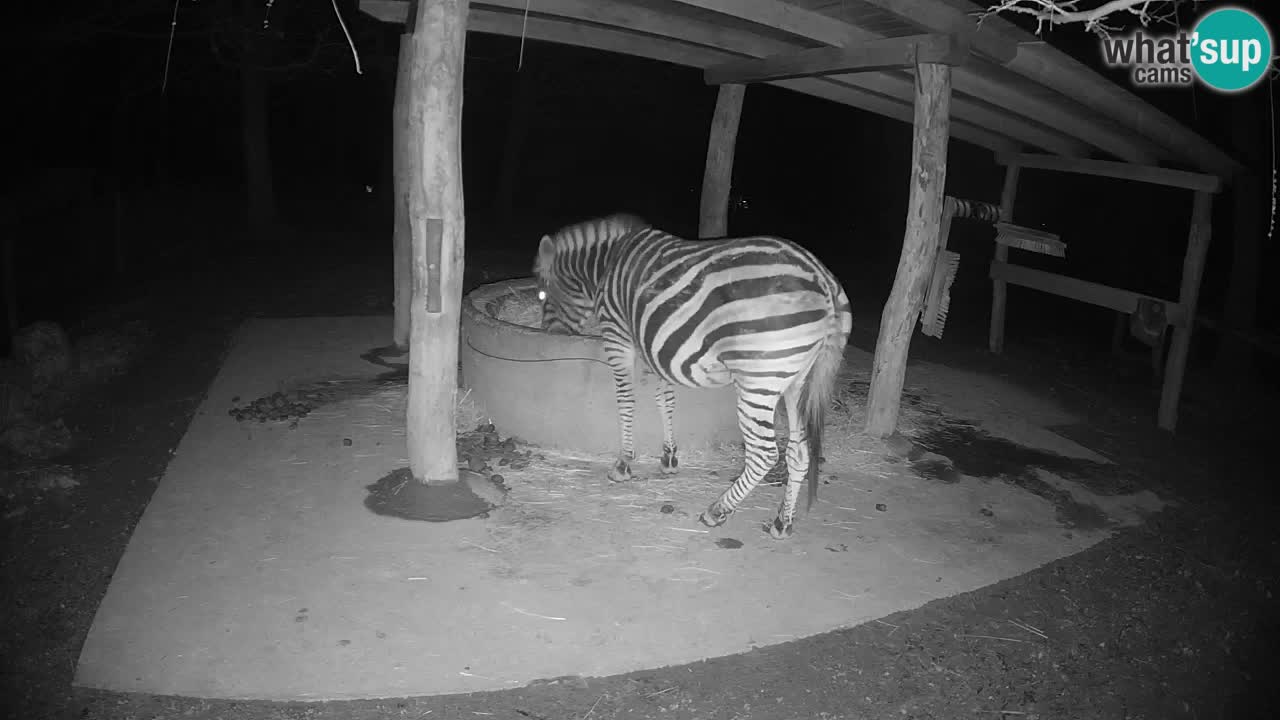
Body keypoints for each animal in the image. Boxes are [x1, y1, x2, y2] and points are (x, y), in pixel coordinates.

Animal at [533, 213, 852, 539]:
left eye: (542, 294)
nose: (548, 335)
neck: (607, 263)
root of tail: (824, 281)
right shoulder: (655, 343)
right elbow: (665, 399)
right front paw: (669, 457)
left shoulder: (617, 333)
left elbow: (626, 400)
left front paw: (623, 464)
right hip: (798, 381)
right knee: (799, 453)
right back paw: (782, 522)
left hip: (758, 382)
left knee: (764, 453)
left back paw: (717, 511)